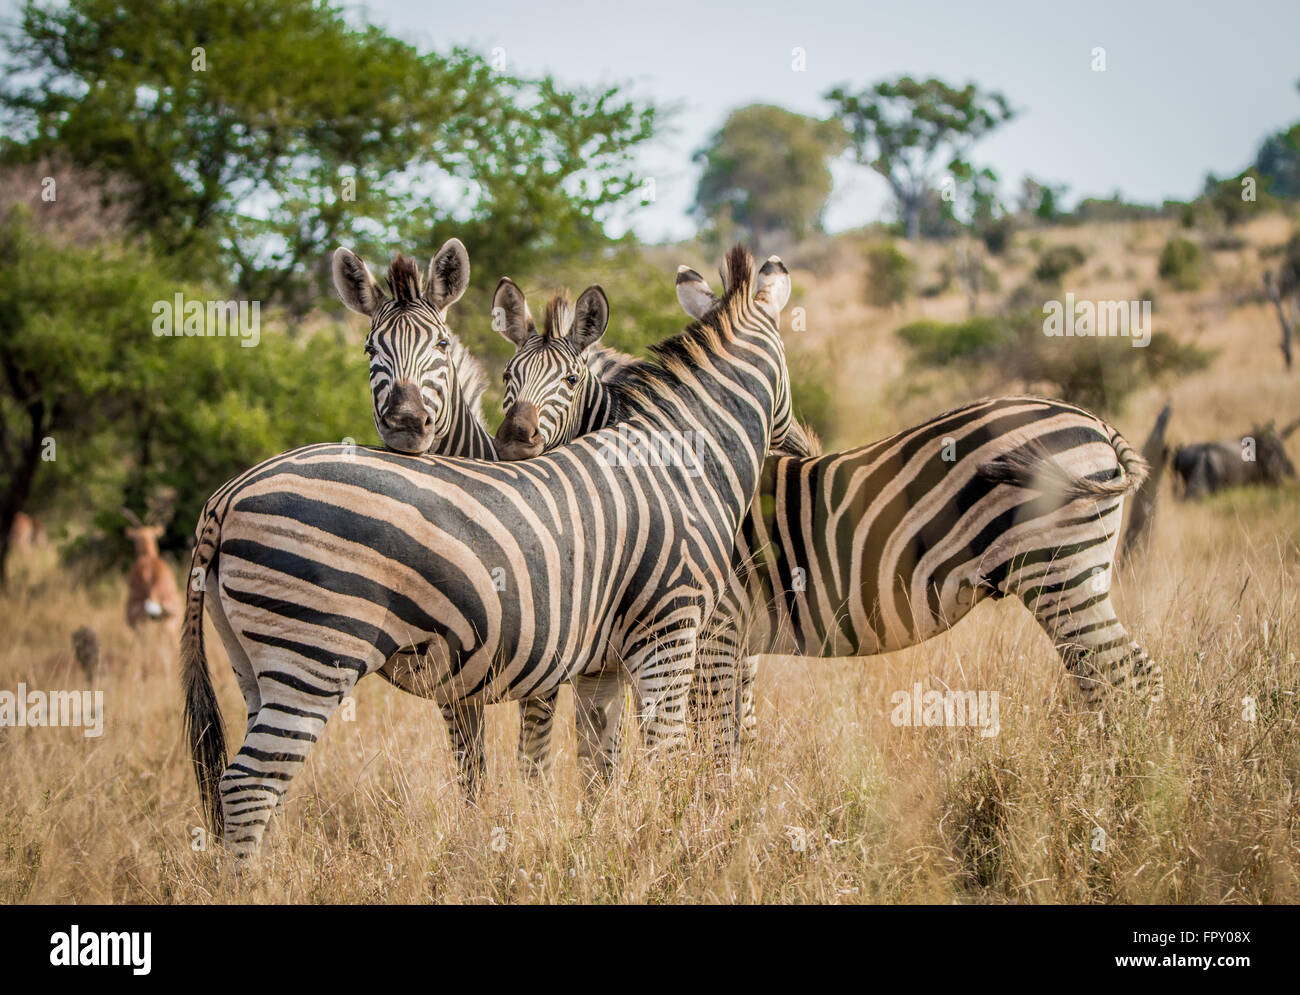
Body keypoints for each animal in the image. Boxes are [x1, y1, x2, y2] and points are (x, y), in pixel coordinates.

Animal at [180, 245, 795, 852]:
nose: (801, 447)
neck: (681, 451)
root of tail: (229, 493)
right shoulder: (669, 628)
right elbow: (665, 757)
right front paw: (670, 841)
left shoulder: (601, 662)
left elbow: (597, 767)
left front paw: (601, 845)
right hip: (312, 653)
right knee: (248, 784)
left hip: (253, 663)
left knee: (252, 786)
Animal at [496, 266, 1162, 770]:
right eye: (506, 378)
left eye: (571, 380)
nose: (513, 441)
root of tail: (1094, 422)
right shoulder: (736, 641)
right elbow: (737, 738)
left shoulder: (711, 630)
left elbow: (711, 744)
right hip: (1071, 579)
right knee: (1108, 681)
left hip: (1060, 575)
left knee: (1131, 678)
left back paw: (1133, 780)